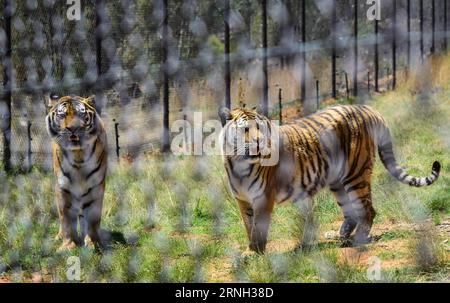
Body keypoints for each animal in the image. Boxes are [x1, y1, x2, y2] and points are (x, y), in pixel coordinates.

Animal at [45, 95, 107, 252]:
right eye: (62, 115)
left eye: (81, 114)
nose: (73, 128)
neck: (78, 155)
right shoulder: (63, 187)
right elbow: (66, 218)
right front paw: (68, 245)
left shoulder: (96, 186)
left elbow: (92, 218)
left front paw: (93, 242)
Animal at [220, 104, 442, 254]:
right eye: (245, 129)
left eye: (262, 128)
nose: (260, 143)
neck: (238, 163)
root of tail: (367, 108)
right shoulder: (243, 200)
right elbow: (248, 226)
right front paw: (251, 250)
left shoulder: (263, 198)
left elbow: (258, 228)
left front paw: (253, 253)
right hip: (338, 182)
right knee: (351, 213)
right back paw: (339, 236)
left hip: (356, 174)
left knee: (368, 210)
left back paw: (358, 238)